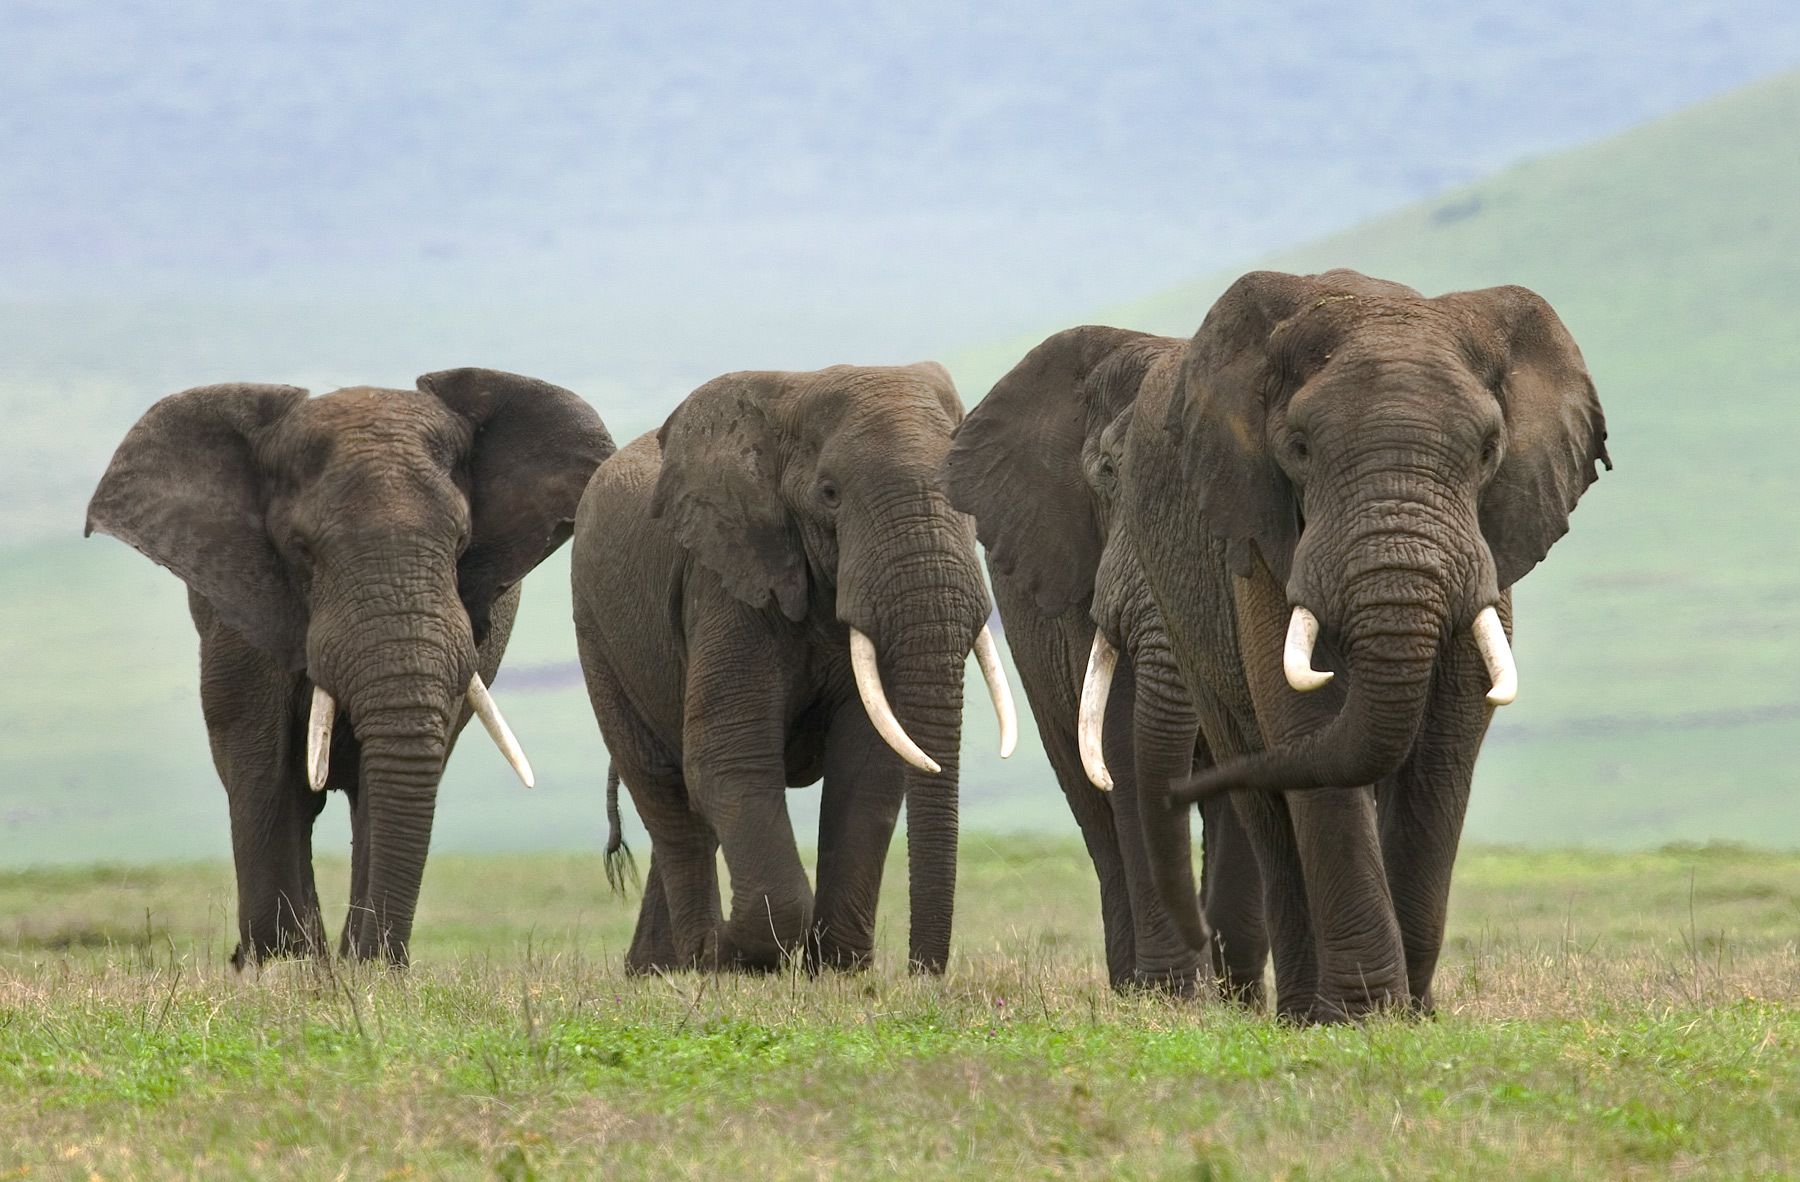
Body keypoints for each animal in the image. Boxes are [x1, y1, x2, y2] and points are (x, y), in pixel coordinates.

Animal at [86, 369, 615, 966]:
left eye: (461, 543)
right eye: (301, 550)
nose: (376, 957)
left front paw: (367, 968)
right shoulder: (241, 609)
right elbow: (263, 764)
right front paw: (285, 964)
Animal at [571, 362, 1014, 975]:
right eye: (829, 495)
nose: (923, 973)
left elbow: (868, 766)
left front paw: (839, 968)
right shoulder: (727, 581)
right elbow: (729, 756)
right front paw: (745, 955)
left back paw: (657, 969)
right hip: (596, 631)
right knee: (665, 793)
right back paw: (699, 958)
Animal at [943, 337, 1267, 998]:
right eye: (1109, 475)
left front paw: (1234, 999)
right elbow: (1123, 752)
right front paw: (1172, 996)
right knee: (1089, 803)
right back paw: (1132, 984)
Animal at [1040, 270, 1610, 1022]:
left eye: (1489, 450)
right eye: (1301, 448)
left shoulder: (1491, 542)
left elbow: (1449, 740)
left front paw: (1413, 1014)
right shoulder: (1260, 536)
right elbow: (1304, 717)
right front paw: (1365, 1016)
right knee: (1264, 794)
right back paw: (1302, 1012)